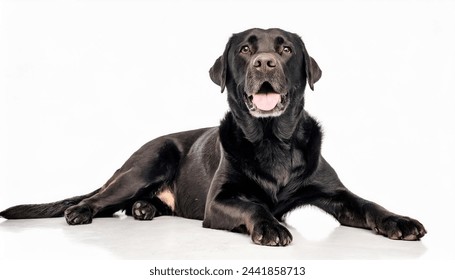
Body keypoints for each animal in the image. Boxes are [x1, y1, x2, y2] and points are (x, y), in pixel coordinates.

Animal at [0, 28, 428, 245]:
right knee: (100, 199)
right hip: (148, 162)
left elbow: (369, 204)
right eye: (245, 49)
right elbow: (253, 207)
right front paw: (271, 226)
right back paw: (82, 210)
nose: (264, 63)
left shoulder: (335, 194)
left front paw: (400, 220)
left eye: (286, 49)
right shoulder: (220, 200)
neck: (273, 142)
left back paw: (144, 210)